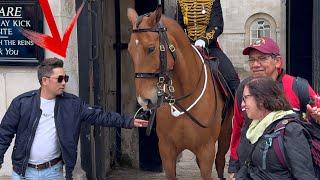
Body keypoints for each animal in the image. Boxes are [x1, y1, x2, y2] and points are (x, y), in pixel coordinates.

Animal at [127, 6, 232, 179]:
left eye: (151, 48)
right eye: (129, 50)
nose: (144, 101)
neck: (185, 96)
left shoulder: (206, 151)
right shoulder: (167, 151)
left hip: (225, 134)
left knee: (221, 160)